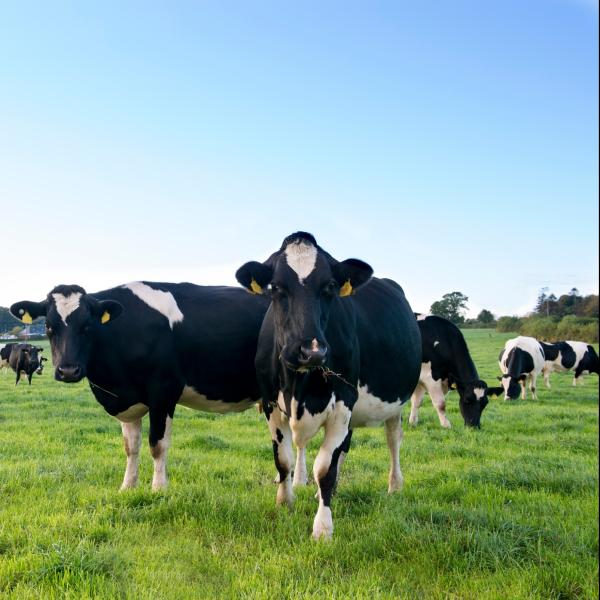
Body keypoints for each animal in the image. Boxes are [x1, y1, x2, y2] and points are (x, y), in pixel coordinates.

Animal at [233, 231, 418, 540]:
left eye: (330, 286)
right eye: (275, 287)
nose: (312, 352)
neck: (298, 384)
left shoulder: (343, 402)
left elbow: (324, 470)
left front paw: (322, 528)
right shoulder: (271, 404)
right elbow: (283, 460)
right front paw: (285, 501)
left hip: (393, 403)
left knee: (393, 440)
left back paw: (394, 485)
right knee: (342, 448)